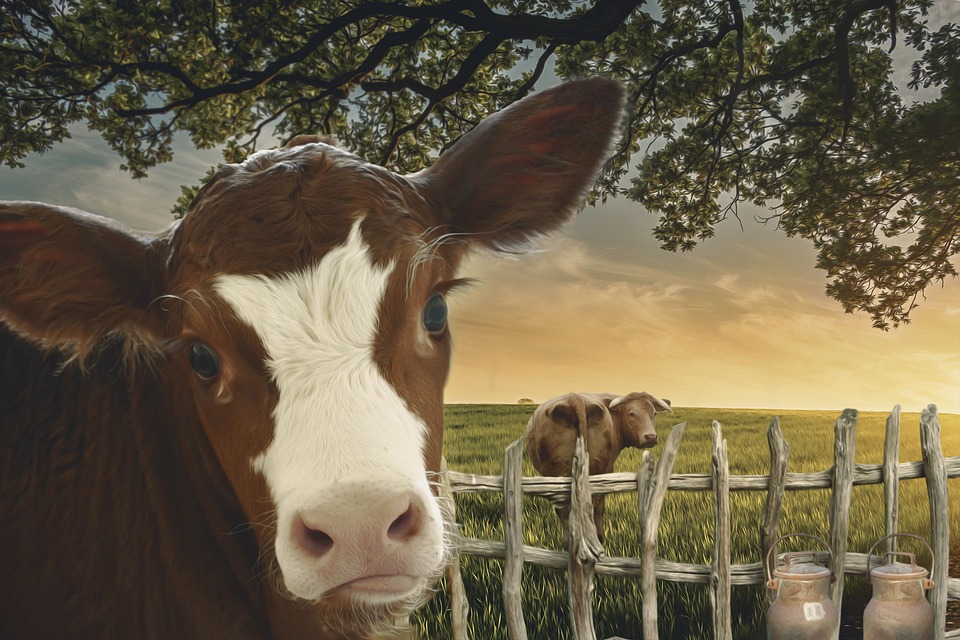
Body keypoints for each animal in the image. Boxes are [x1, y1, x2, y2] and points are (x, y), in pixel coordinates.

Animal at [525, 391, 671, 542]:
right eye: (632, 413)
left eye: (654, 413)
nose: (651, 437)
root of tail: (574, 398)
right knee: (594, 507)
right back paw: (598, 538)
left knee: (564, 511)